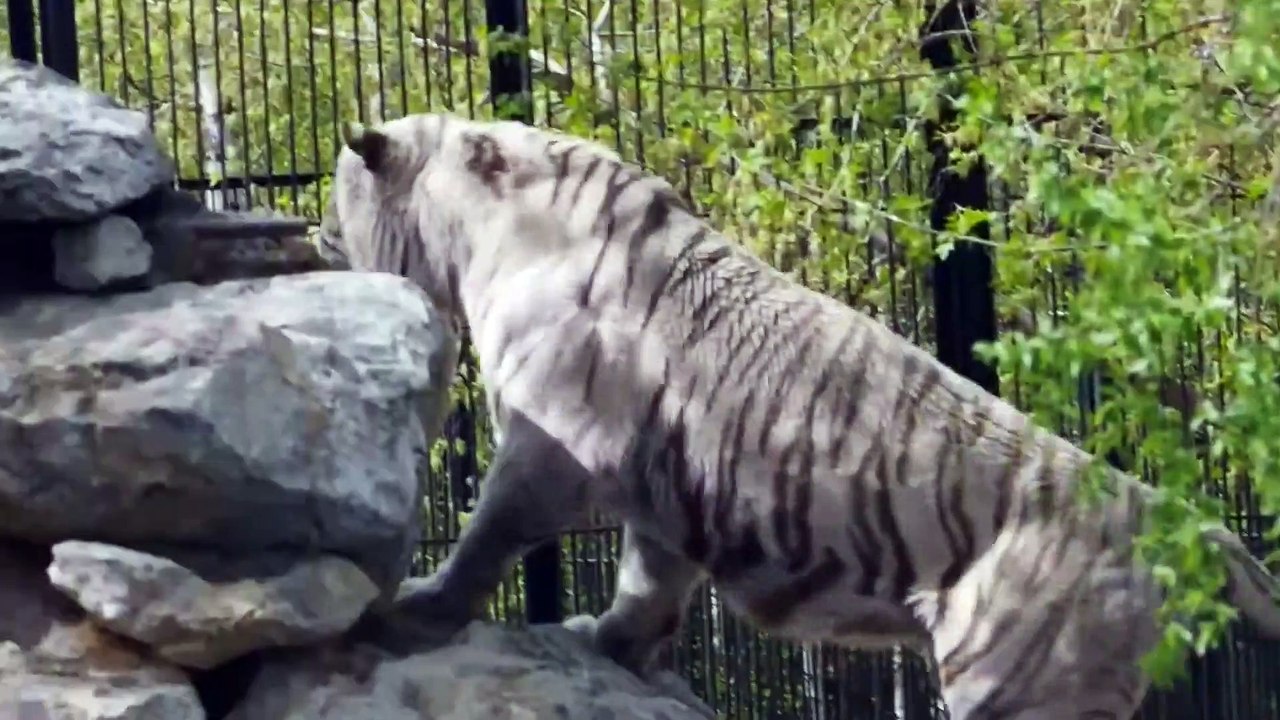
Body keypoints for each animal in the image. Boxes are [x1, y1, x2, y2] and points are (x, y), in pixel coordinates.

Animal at [317, 111, 1280, 720]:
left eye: (340, 196)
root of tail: (1175, 520)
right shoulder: (659, 488)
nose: (322, 239)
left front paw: (420, 607)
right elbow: (649, 583)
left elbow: (488, 537)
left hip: (1018, 684)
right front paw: (613, 643)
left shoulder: (547, 446)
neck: (484, 227)